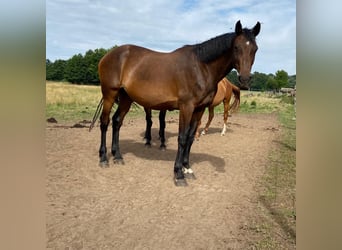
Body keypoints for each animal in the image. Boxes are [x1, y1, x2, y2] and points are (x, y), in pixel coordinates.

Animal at [93, 21, 260, 186]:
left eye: (255, 49)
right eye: (236, 47)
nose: (245, 79)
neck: (201, 67)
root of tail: (108, 55)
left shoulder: (199, 109)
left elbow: (191, 137)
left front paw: (188, 168)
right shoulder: (186, 107)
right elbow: (183, 137)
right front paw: (179, 174)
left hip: (126, 98)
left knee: (117, 122)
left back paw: (117, 156)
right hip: (109, 94)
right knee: (105, 122)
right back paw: (103, 158)